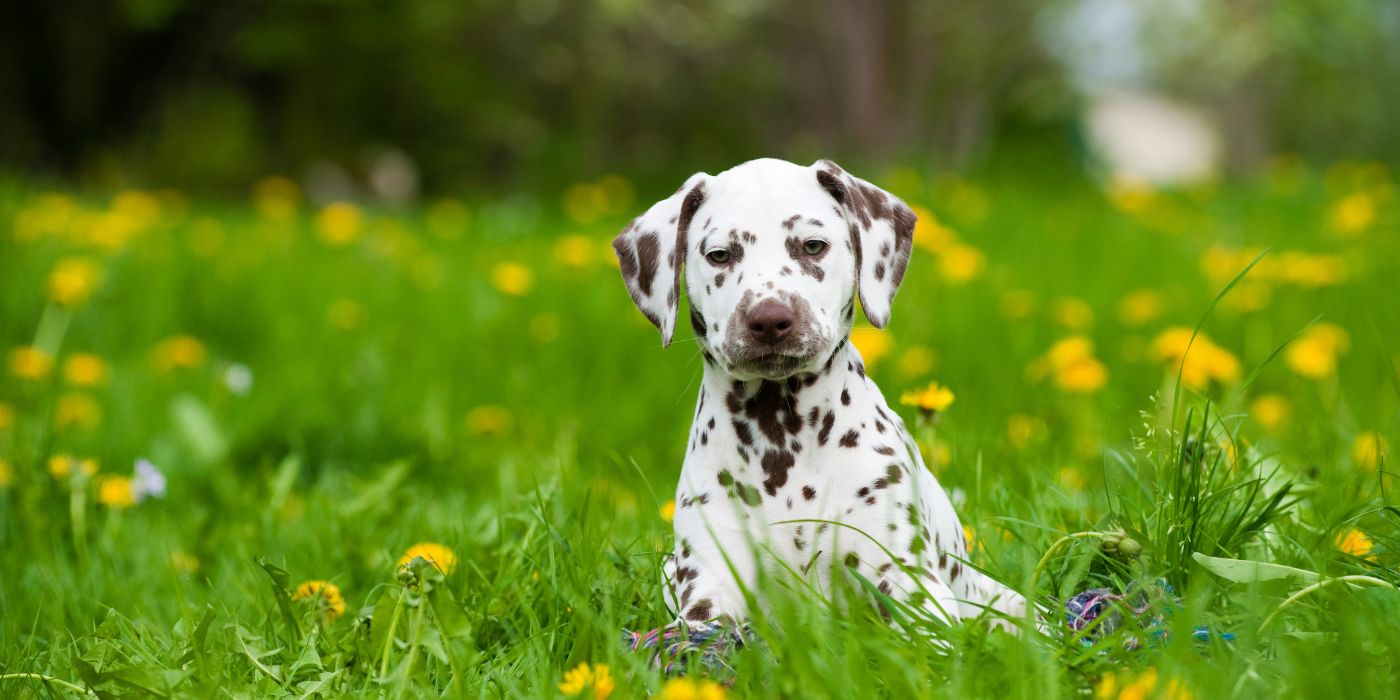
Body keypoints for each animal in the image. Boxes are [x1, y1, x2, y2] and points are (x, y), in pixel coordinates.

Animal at [613, 157, 1030, 630]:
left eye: (812, 246)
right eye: (719, 255)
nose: (769, 319)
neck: (782, 441)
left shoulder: (906, 579)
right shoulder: (707, 587)